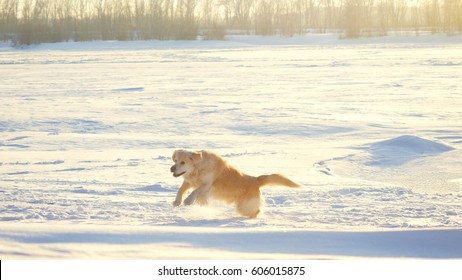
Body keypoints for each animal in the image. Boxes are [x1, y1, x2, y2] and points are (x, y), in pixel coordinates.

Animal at [170, 150, 300, 218]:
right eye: (175, 161)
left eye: (183, 162)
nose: (172, 169)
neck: (199, 168)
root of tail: (256, 180)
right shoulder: (188, 182)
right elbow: (180, 190)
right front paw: (177, 201)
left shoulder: (207, 185)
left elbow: (195, 190)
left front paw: (188, 200)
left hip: (245, 206)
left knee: (256, 211)